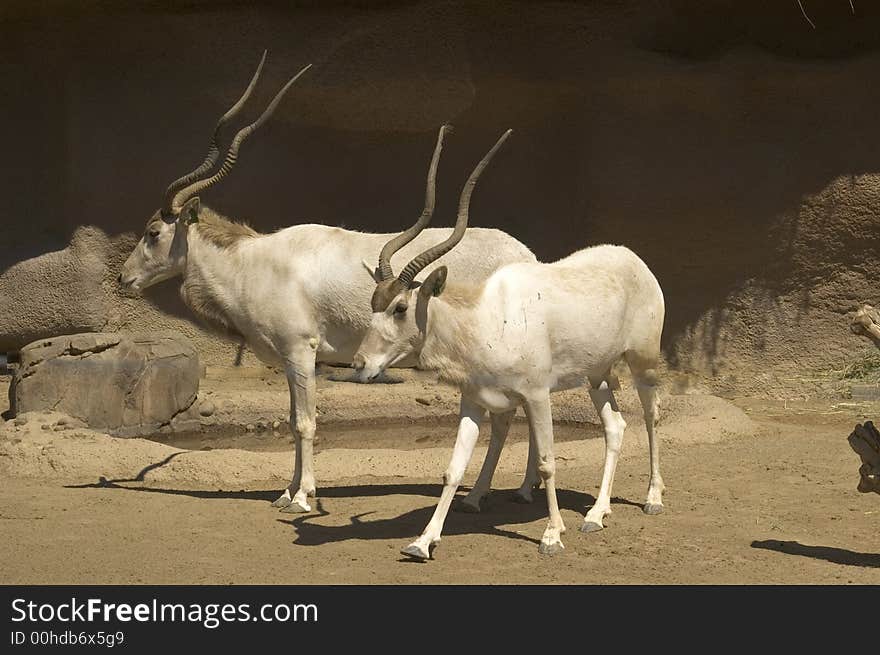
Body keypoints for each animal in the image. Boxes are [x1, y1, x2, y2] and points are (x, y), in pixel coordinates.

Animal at [120, 53, 540, 516]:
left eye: (153, 232)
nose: (123, 277)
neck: (254, 262)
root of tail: (528, 257)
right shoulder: (290, 360)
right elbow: (290, 419)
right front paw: (286, 491)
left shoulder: (301, 351)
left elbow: (305, 422)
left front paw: (303, 497)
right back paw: (523, 488)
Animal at [352, 128, 668, 560]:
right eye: (374, 304)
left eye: (400, 307)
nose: (359, 364)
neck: (481, 320)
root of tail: (634, 260)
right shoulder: (473, 400)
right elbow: (453, 468)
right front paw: (422, 542)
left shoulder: (537, 396)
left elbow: (549, 461)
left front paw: (552, 535)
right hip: (597, 375)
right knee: (615, 426)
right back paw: (595, 514)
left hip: (642, 363)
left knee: (651, 416)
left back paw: (652, 498)